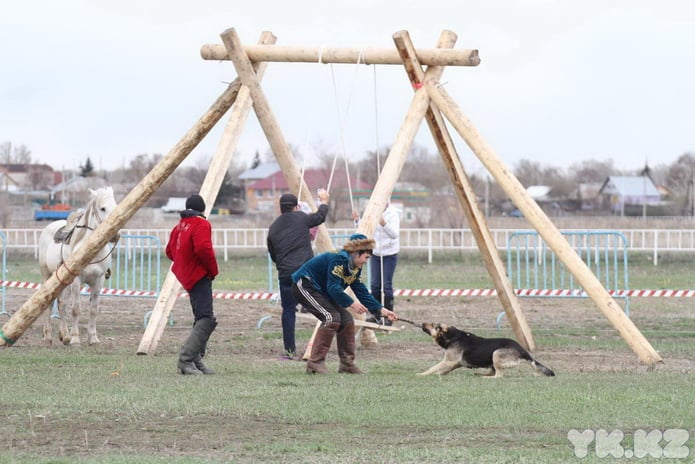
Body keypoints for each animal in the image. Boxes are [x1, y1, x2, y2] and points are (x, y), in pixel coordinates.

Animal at [38, 186, 119, 344]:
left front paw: (93, 338)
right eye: (102, 208)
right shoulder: (76, 279)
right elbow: (76, 309)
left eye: (116, 206)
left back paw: (64, 335)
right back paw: (48, 336)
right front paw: (75, 338)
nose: (115, 236)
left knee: (62, 303)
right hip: (47, 276)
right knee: (50, 304)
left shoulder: (98, 280)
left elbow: (93, 309)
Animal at [416, 322, 556, 376]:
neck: (452, 336)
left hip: (496, 353)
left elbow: (433, 368)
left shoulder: (448, 361)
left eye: (433, 325)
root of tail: (523, 350)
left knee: (498, 375)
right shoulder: (454, 363)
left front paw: (422, 374)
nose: (422, 323)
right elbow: (442, 370)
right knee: (493, 372)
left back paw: (485, 377)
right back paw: (480, 374)